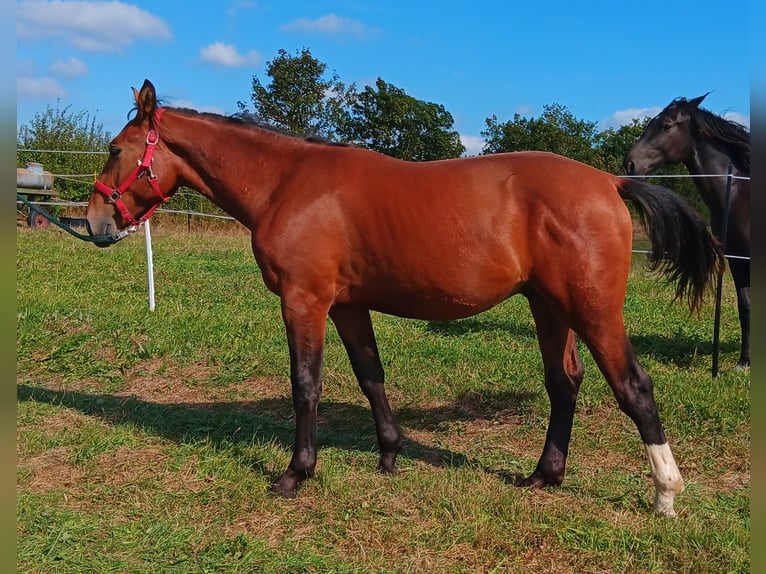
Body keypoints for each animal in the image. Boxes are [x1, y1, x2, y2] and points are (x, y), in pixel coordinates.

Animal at [87, 81, 724, 516]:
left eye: (116, 149)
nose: (95, 221)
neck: (287, 183)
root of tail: (609, 182)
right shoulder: (347, 305)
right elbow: (371, 376)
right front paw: (388, 456)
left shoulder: (304, 300)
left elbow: (306, 384)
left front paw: (296, 473)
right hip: (550, 309)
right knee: (563, 384)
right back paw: (544, 476)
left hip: (593, 312)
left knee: (633, 387)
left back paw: (665, 495)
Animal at [628, 92, 752, 366]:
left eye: (666, 126)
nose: (629, 164)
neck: (737, 193)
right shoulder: (737, 259)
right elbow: (745, 306)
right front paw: (744, 361)